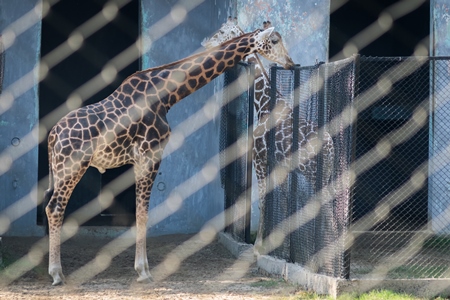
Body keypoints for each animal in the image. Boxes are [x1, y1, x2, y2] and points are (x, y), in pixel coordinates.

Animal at [202, 21, 336, 252]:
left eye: (223, 31)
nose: (206, 43)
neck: (264, 104)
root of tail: (330, 147)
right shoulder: (278, 164)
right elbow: (283, 201)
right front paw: (279, 245)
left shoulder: (259, 157)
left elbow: (264, 201)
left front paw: (258, 246)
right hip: (325, 174)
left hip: (314, 174)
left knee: (327, 209)